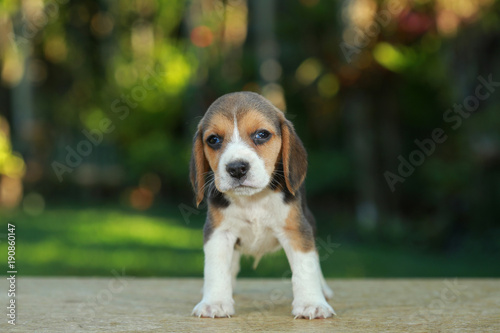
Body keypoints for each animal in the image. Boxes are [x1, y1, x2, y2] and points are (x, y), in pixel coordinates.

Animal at [189, 91, 334, 320]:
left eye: (262, 135)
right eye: (213, 140)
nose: (237, 168)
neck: (253, 200)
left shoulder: (296, 230)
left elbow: (305, 267)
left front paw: (312, 303)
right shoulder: (218, 233)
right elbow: (216, 268)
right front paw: (215, 302)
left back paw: (324, 290)